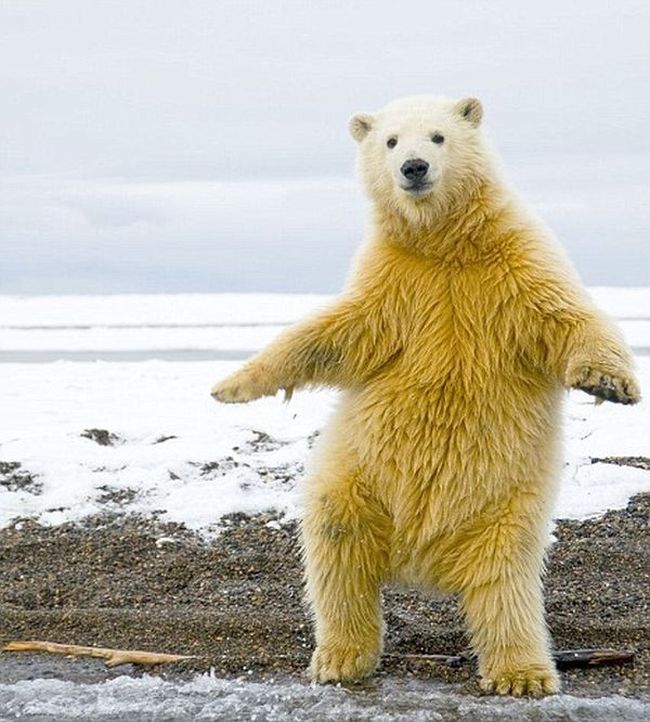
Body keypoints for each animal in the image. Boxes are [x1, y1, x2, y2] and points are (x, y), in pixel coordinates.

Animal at [211, 95, 640, 696]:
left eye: (438, 136)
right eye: (390, 140)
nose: (413, 167)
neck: (446, 246)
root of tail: (422, 562)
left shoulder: (516, 265)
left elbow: (567, 318)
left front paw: (611, 384)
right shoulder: (393, 282)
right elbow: (332, 334)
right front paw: (230, 385)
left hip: (505, 506)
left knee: (505, 582)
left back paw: (522, 673)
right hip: (358, 476)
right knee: (336, 545)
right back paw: (341, 658)